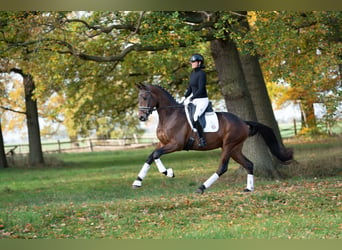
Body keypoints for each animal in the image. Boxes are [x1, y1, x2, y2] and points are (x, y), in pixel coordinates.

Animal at [132, 83, 292, 194]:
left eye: (145, 97)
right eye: (138, 98)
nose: (141, 117)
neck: (170, 115)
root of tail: (242, 122)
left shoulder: (176, 145)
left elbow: (156, 155)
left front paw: (168, 173)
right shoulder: (162, 143)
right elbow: (151, 156)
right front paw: (137, 182)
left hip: (229, 145)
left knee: (222, 167)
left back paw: (201, 188)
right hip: (235, 149)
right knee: (249, 164)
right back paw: (249, 188)